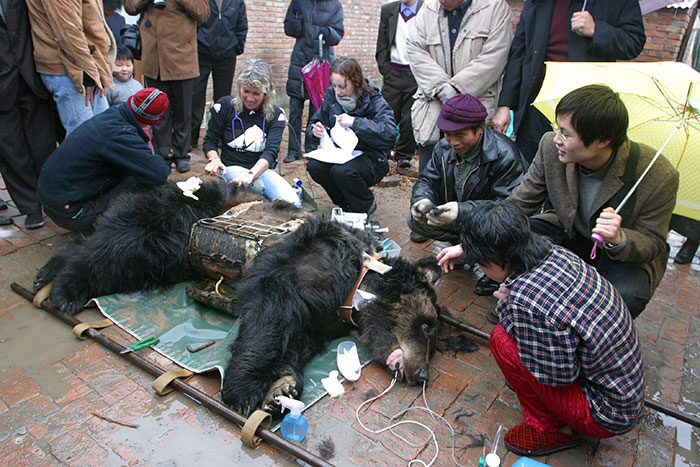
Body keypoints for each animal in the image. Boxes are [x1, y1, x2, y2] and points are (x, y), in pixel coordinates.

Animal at [221, 216, 440, 414]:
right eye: (425, 326)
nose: (423, 375)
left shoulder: (324, 322)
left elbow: (300, 342)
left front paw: (283, 387)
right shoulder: (307, 266)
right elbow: (269, 314)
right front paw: (242, 389)